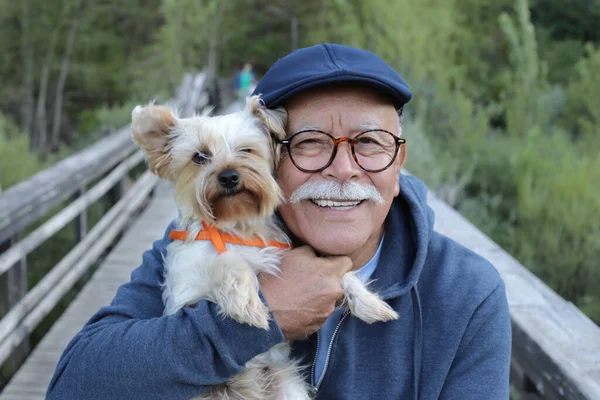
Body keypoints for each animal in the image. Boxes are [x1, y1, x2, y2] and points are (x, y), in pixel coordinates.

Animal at [131, 97, 398, 400]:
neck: (238, 228)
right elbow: (226, 262)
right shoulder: (187, 292)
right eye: (199, 157)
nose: (229, 176)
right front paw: (250, 307)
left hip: (287, 386)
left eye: (246, 150)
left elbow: (342, 272)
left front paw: (371, 304)